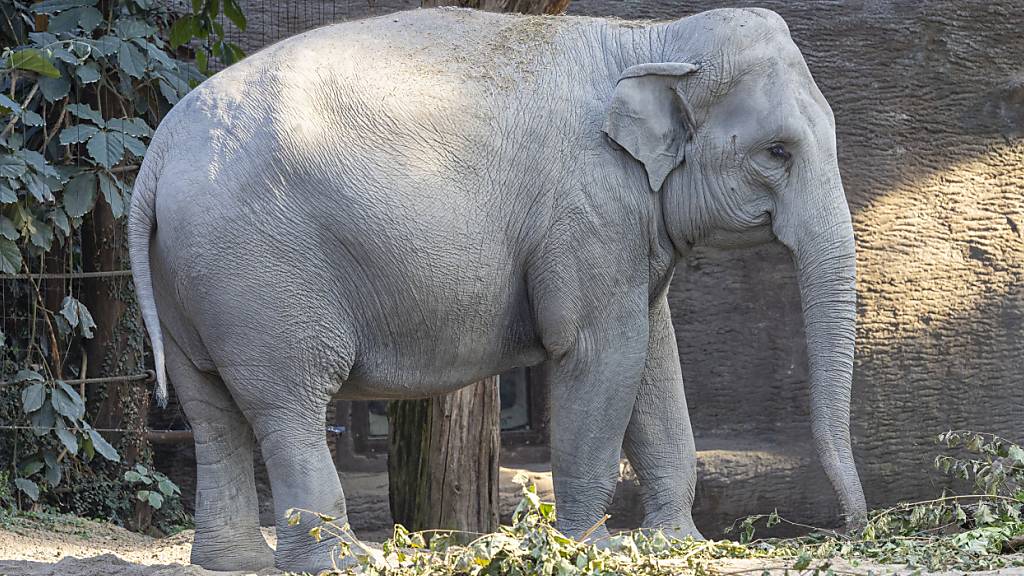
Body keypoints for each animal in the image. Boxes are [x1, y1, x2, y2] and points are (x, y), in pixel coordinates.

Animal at [125, 4, 864, 569]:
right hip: (257, 272)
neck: (649, 37)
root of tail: (157, 154)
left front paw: (678, 547)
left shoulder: (626, 223)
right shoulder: (588, 209)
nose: (855, 531)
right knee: (288, 403)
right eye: (777, 152)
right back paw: (341, 561)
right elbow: (601, 353)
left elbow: (655, 357)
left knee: (210, 408)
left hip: (192, 273)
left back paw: (234, 563)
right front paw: (588, 550)